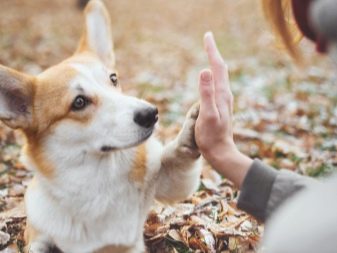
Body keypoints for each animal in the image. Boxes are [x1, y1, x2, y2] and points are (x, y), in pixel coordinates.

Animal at [0, 0, 201, 252]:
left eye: (113, 79)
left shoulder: (167, 183)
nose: (151, 114)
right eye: (79, 102)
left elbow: (177, 162)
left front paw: (192, 129)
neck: (100, 179)